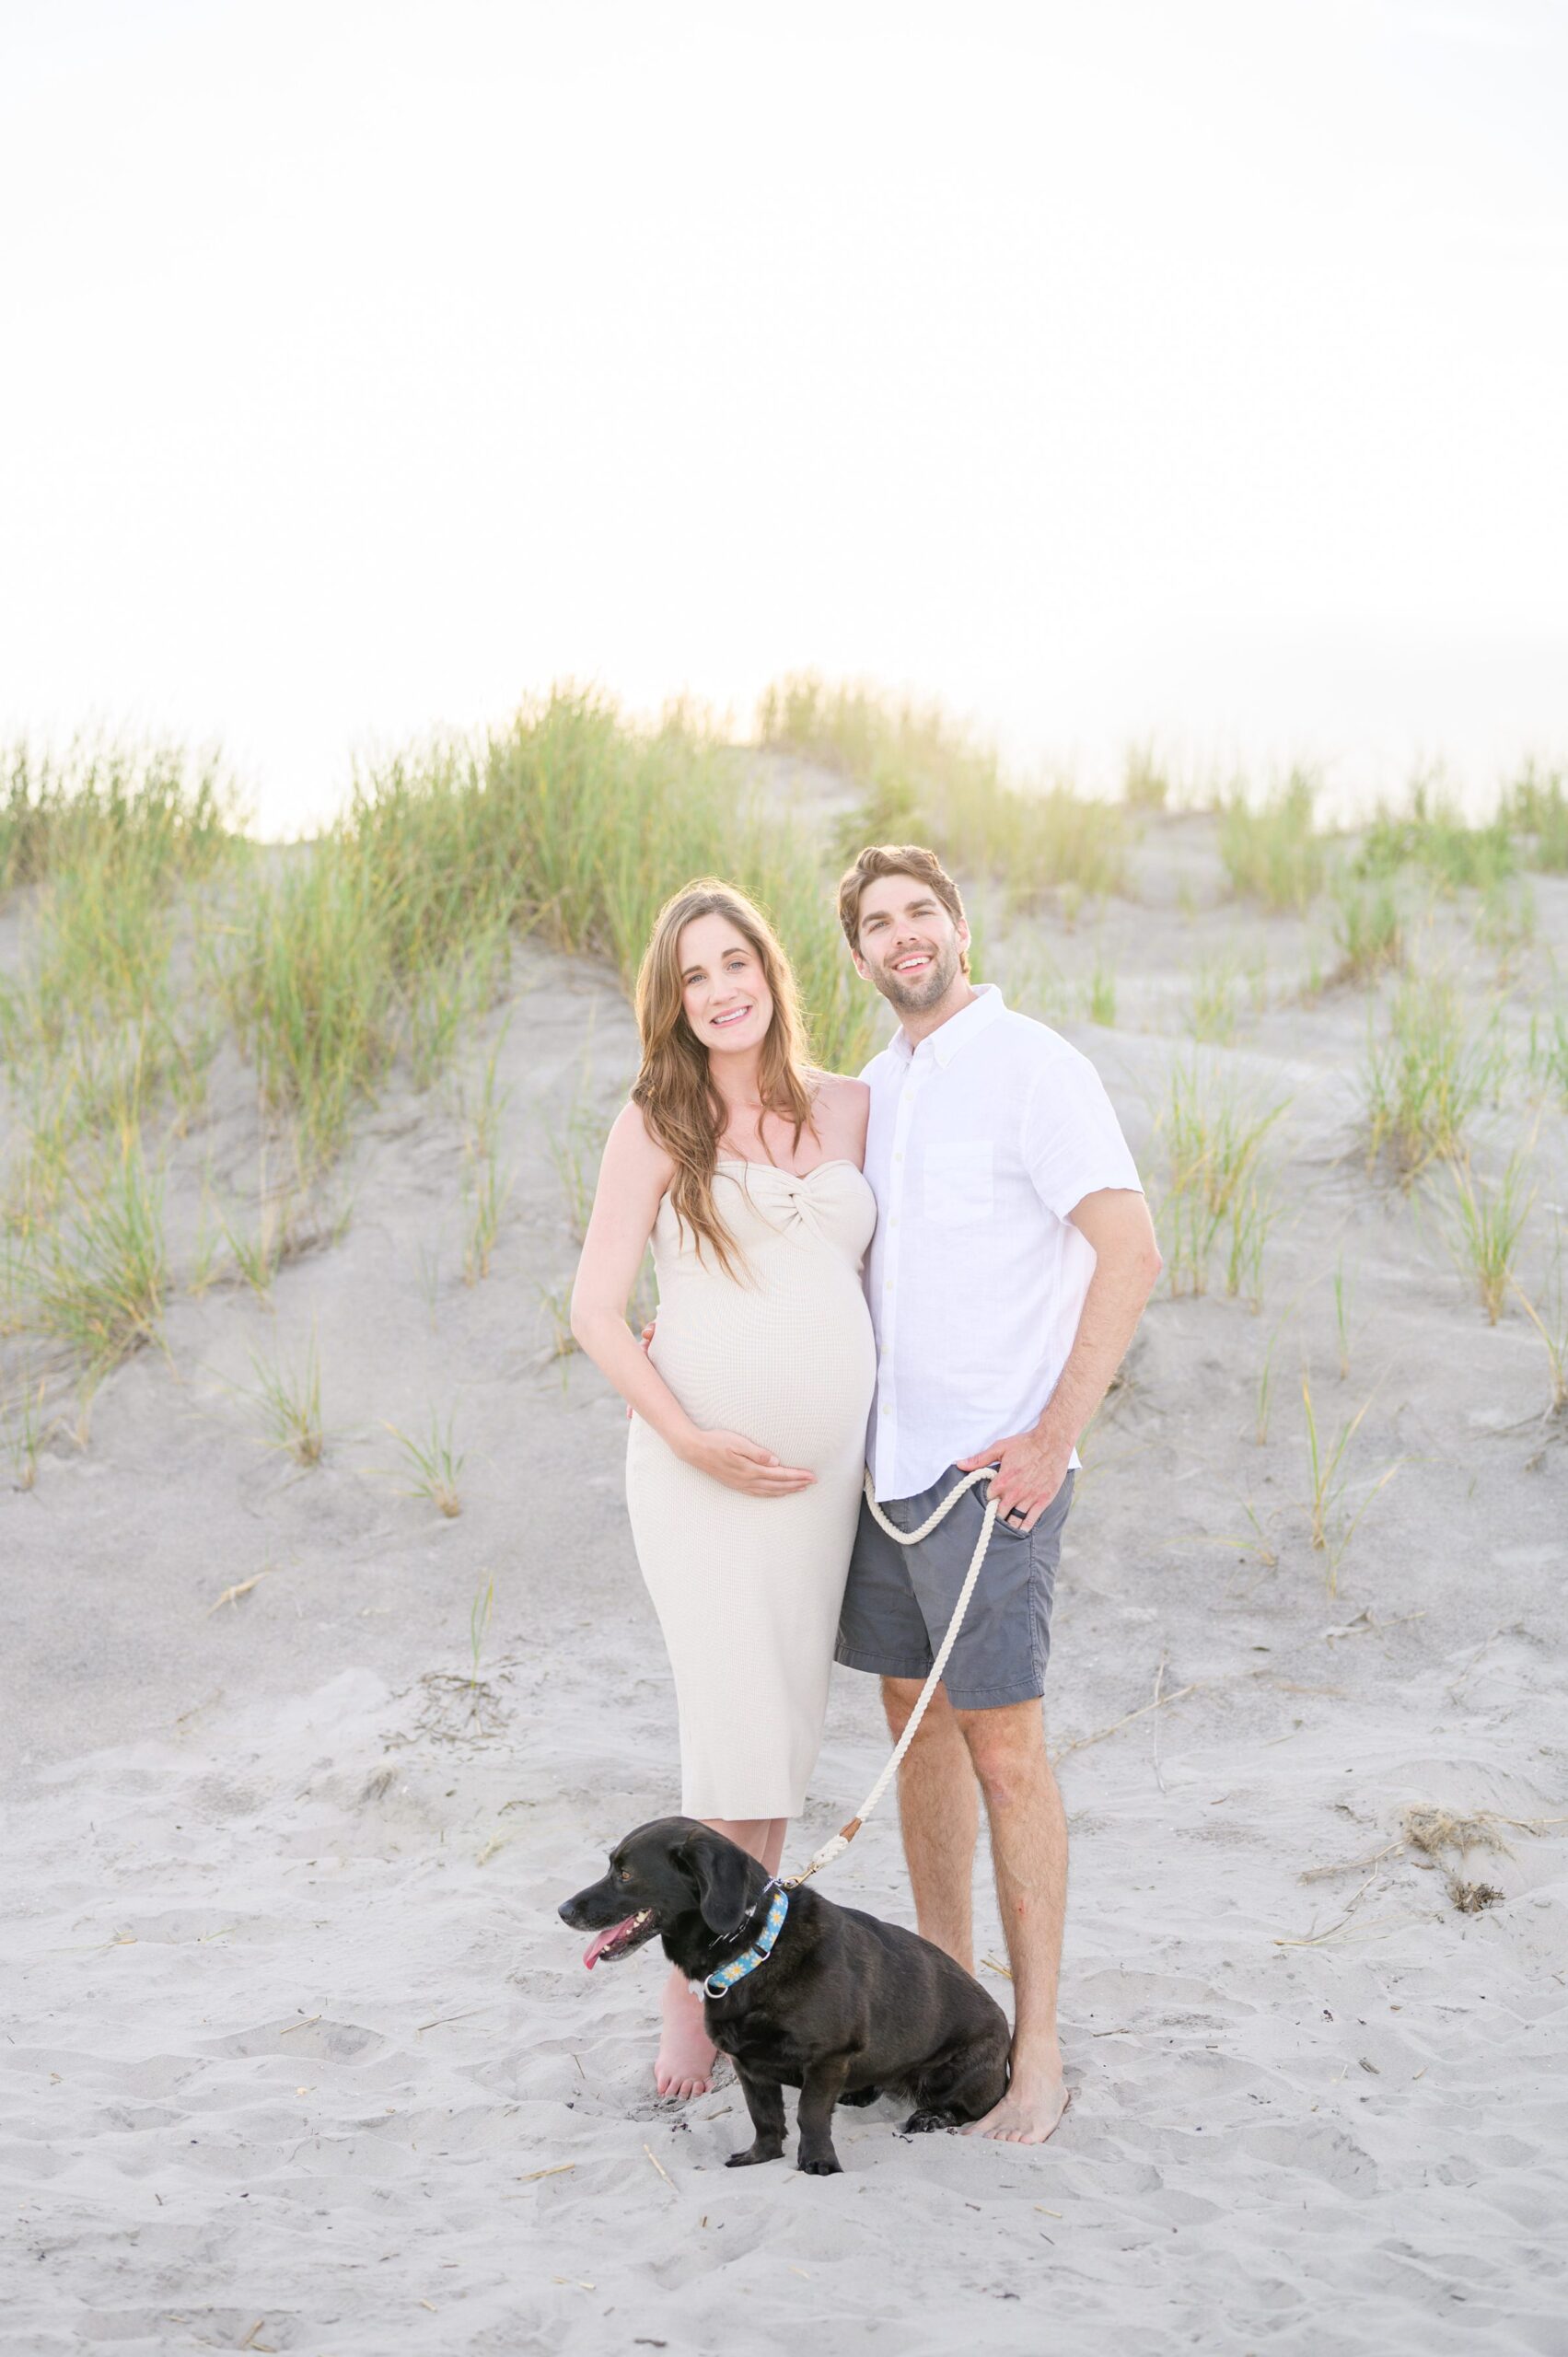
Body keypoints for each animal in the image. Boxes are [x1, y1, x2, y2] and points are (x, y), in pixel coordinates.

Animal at [556, 1819, 1009, 2168]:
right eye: (611, 1867)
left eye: (625, 1874)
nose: (562, 1910)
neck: (753, 1949)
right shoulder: (749, 2065)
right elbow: (765, 2116)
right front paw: (762, 2156)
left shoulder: (828, 2058)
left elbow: (810, 2114)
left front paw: (819, 2162)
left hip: (950, 2075)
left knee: (971, 2108)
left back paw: (932, 2117)